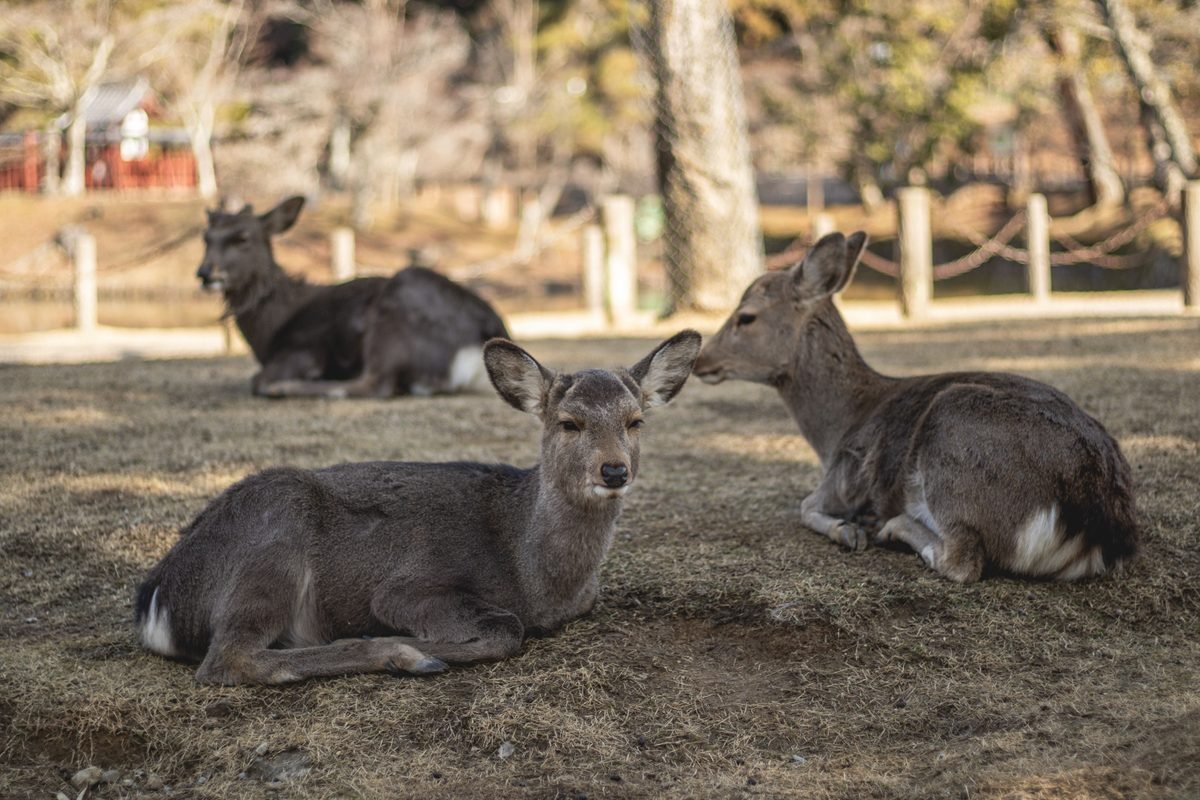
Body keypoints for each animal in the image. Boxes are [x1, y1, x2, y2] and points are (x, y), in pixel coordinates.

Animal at [135, 330, 702, 684]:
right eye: (569, 423)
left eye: (635, 421)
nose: (614, 471)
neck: (536, 578)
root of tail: (156, 599)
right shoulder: (406, 586)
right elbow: (506, 628)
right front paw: (413, 642)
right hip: (275, 532)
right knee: (230, 657)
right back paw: (401, 654)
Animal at [197, 196, 509, 398]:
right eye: (206, 238)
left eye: (242, 237)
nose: (204, 273)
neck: (268, 332)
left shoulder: (304, 349)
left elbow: (256, 379)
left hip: (395, 312)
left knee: (375, 384)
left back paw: (286, 388)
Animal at [692, 232, 1138, 583]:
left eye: (746, 317)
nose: (700, 359)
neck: (835, 430)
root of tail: (1098, 523)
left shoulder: (843, 478)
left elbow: (804, 507)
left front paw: (849, 530)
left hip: (955, 438)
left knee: (963, 560)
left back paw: (890, 526)